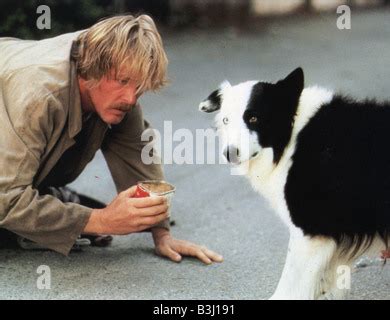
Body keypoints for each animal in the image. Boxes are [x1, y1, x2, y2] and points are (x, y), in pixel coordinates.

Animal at [200, 68, 388, 300]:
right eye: (226, 120)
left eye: (253, 118)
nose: (229, 154)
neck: (291, 139)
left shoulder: (309, 231)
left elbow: (291, 283)